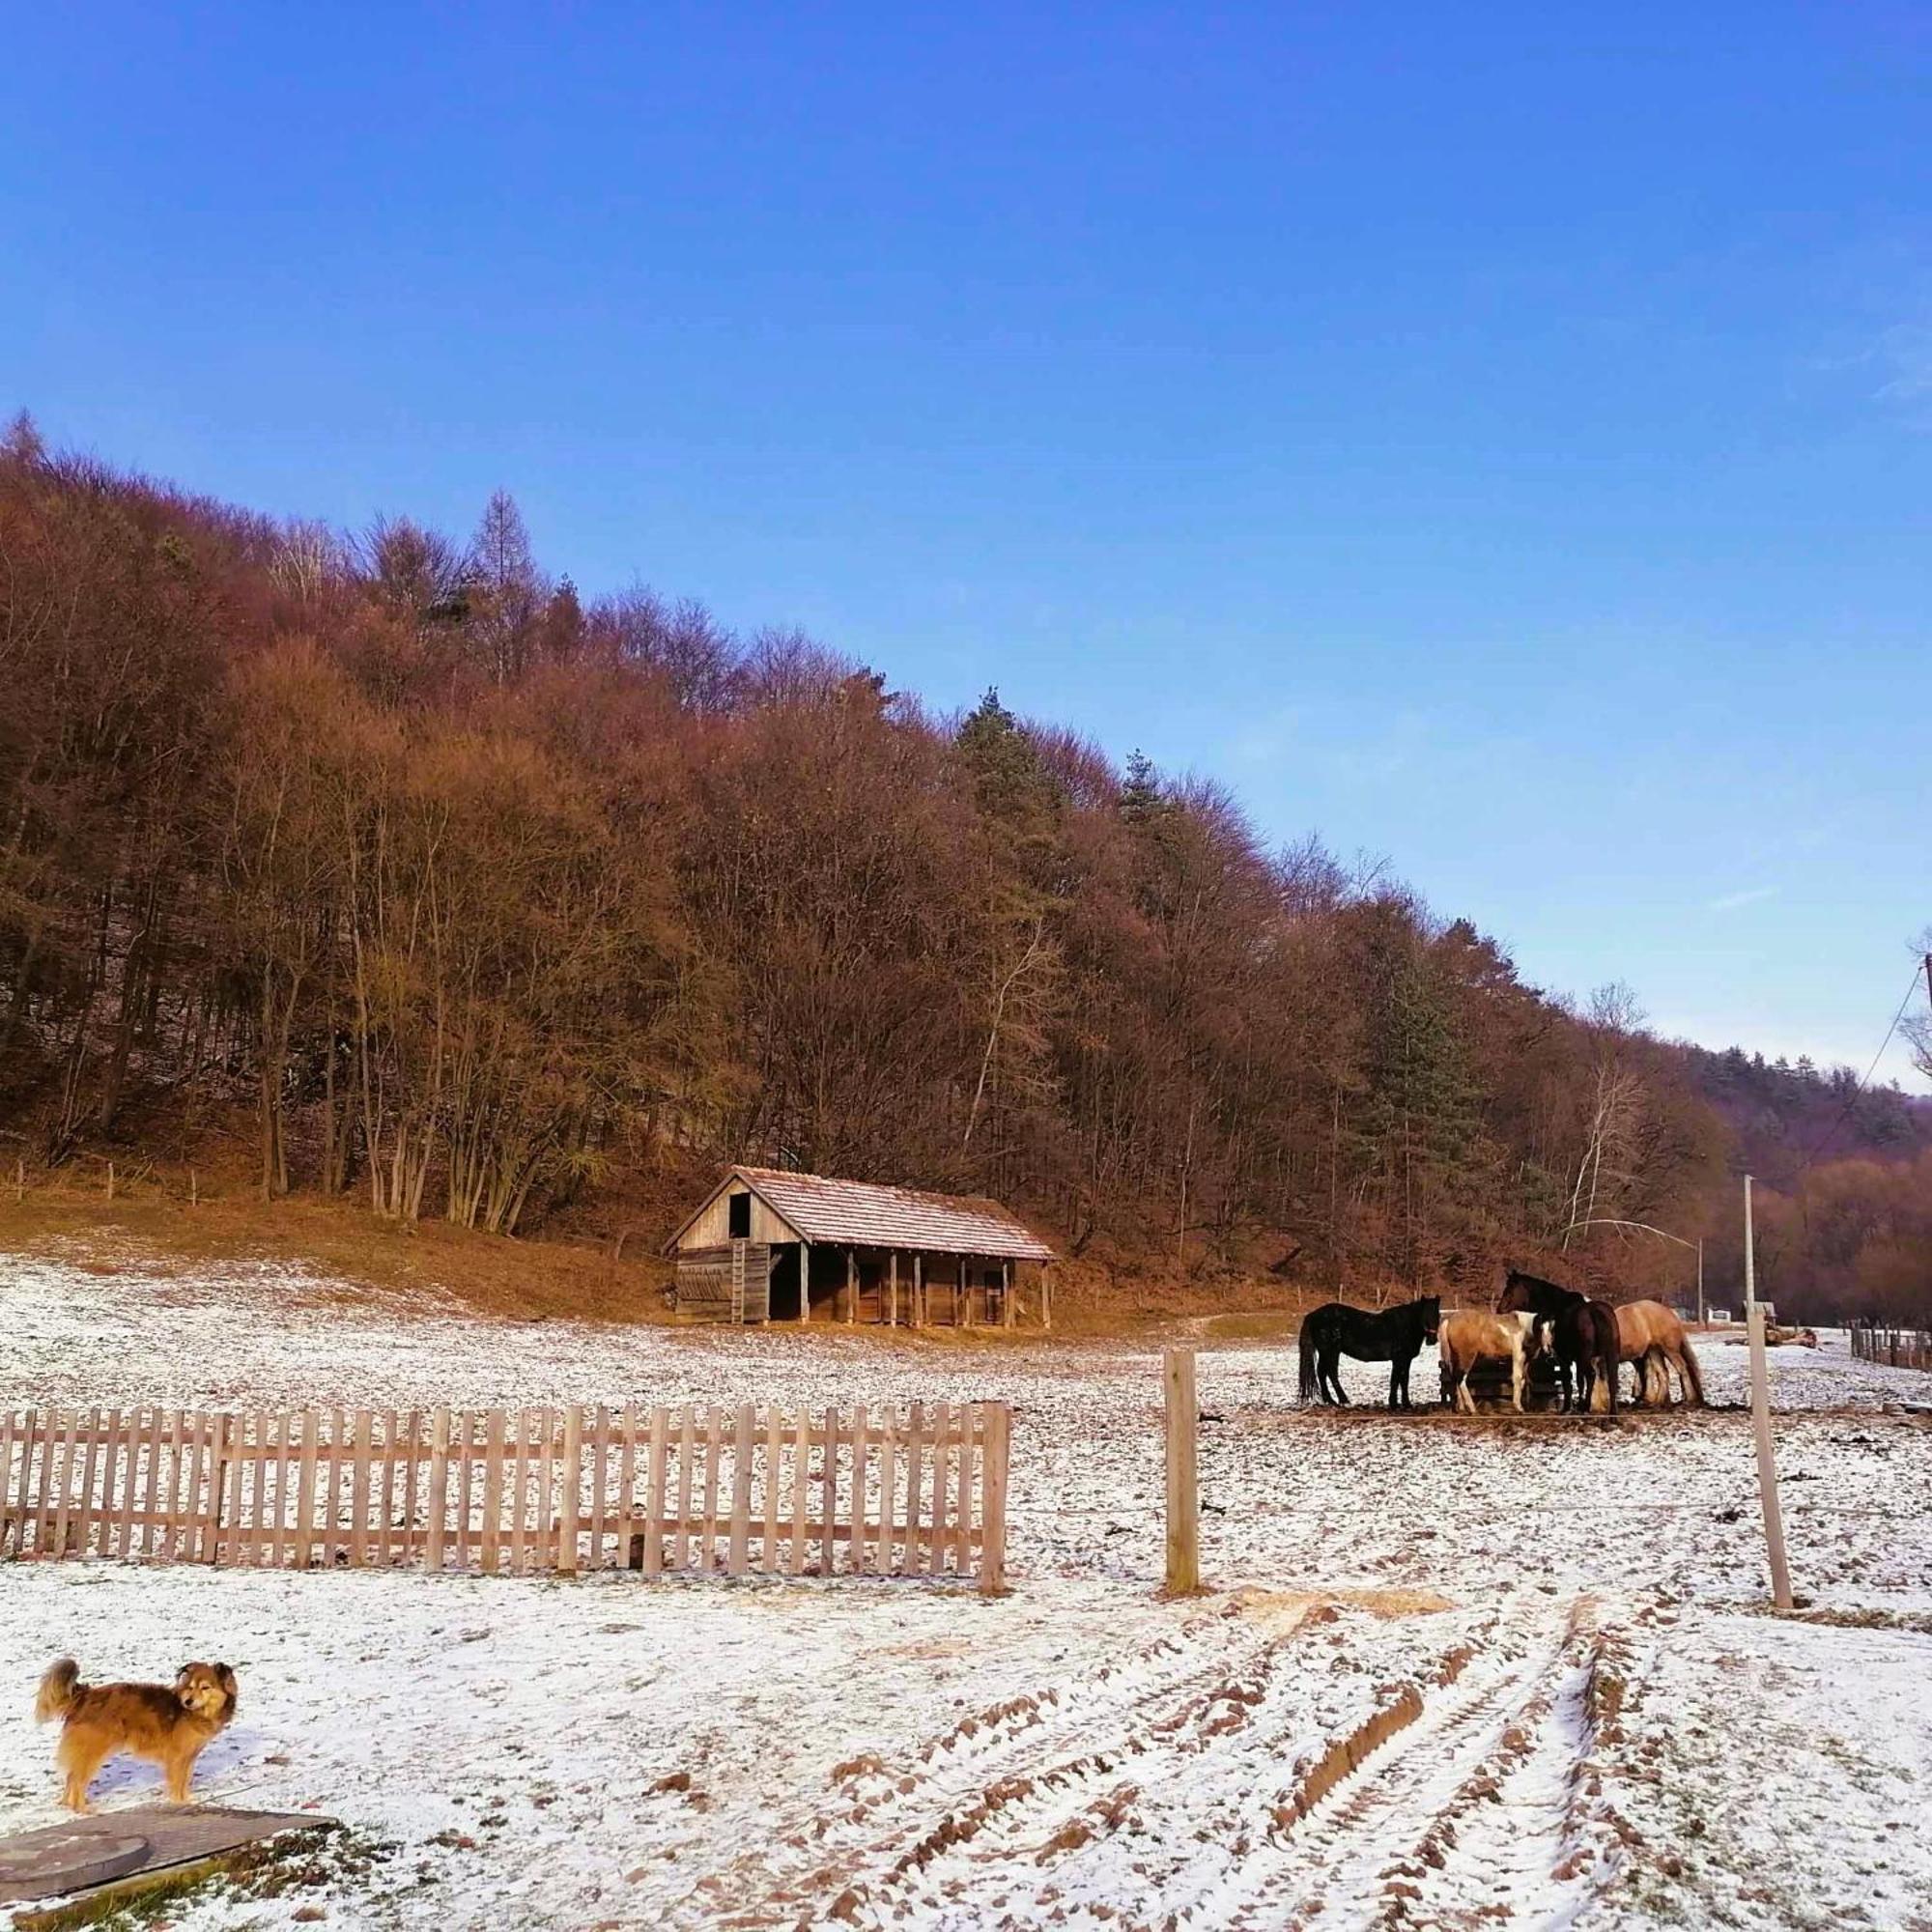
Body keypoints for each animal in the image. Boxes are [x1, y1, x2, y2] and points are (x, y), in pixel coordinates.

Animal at [35, 1654, 238, 1816]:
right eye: (191, 1687)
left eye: (205, 1687)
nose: (187, 1701)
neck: (195, 1713)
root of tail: (85, 1695)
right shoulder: (177, 1757)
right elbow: (177, 1783)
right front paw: (179, 1802)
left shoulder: (190, 1756)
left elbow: (185, 1781)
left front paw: (188, 1800)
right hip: (93, 1751)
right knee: (78, 1781)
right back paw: (82, 1810)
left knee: (71, 1777)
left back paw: (68, 1805)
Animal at [1291, 1298, 1445, 1406]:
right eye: (1424, 1315)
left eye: (1437, 1315)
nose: (1432, 1340)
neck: (1406, 1326)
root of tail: (1313, 1315)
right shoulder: (1399, 1359)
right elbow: (1397, 1380)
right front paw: (1396, 1403)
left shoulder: (1405, 1360)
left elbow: (1402, 1380)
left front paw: (1403, 1403)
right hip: (1331, 1352)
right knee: (1331, 1373)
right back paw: (1343, 1400)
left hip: (1325, 1353)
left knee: (1322, 1372)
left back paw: (1330, 1400)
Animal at [1499, 1267, 1623, 1422]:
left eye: (1509, 1290)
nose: (1499, 1310)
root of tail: (1596, 1312)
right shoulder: (1579, 1359)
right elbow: (1578, 1381)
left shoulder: (1564, 1358)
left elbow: (1568, 1380)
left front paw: (1567, 1408)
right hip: (1610, 1356)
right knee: (1612, 1380)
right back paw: (1612, 1414)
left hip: (1586, 1358)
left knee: (1591, 1375)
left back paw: (1585, 1408)